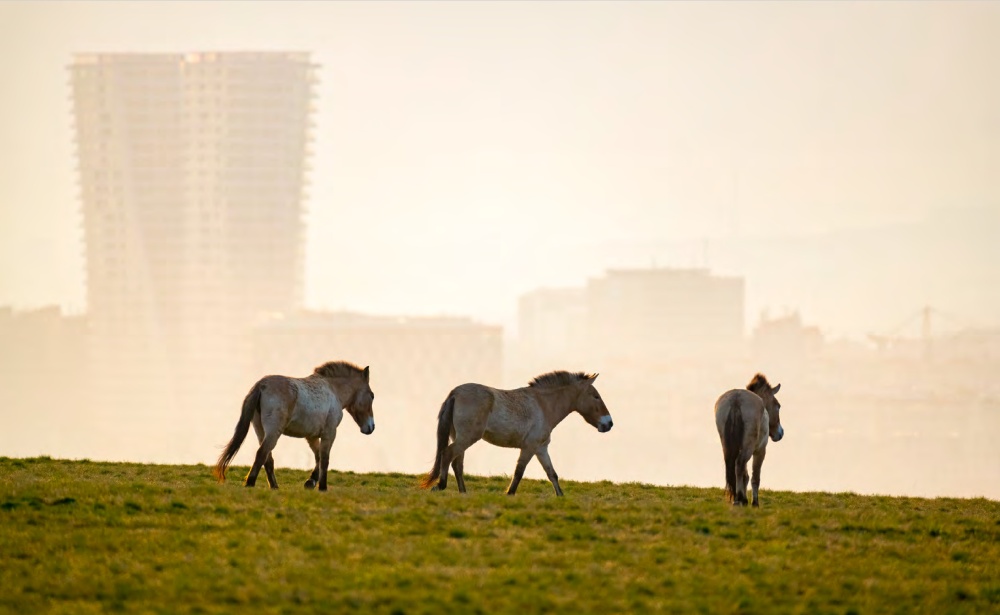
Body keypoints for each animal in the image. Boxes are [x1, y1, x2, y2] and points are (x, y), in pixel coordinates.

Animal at [213, 360, 374, 490]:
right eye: (372, 396)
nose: (371, 427)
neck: (333, 390)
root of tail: (261, 385)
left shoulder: (312, 436)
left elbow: (318, 457)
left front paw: (311, 482)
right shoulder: (329, 433)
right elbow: (325, 459)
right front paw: (322, 487)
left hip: (260, 430)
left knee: (268, 458)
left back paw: (274, 487)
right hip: (273, 432)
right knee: (262, 454)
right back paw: (250, 483)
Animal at [418, 370, 612, 496]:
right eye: (596, 396)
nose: (609, 423)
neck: (543, 405)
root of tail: (455, 393)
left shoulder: (541, 448)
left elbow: (552, 474)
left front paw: (561, 497)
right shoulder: (529, 447)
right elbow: (519, 472)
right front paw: (509, 494)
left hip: (461, 437)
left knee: (457, 463)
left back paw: (463, 492)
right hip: (467, 437)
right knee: (448, 454)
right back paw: (441, 486)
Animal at [716, 372, 784, 508]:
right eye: (778, 406)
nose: (780, 433)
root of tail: (736, 399)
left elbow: (745, 475)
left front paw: (745, 500)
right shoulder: (760, 451)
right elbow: (754, 477)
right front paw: (754, 502)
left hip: (727, 446)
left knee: (734, 466)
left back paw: (738, 498)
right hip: (749, 448)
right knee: (739, 464)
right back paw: (738, 499)